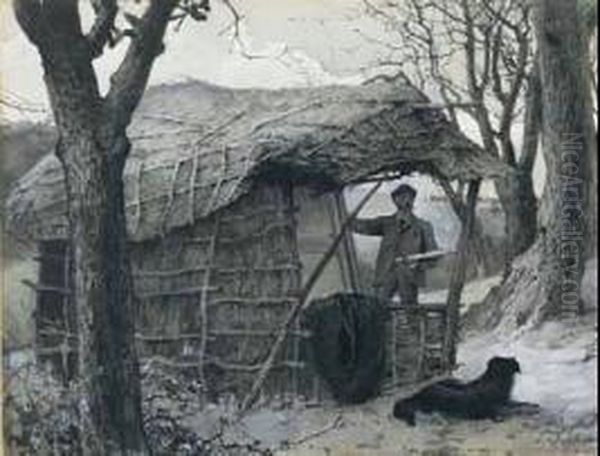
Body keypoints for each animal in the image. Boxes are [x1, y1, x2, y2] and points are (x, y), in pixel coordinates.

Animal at [394, 356, 540, 428]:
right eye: (506, 365)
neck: (495, 383)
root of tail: (420, 392)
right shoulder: (499, 409)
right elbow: (515, 409)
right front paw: (530, 410)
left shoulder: (506, 402)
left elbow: (520, 403)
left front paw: (533, 405)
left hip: (453, 381)